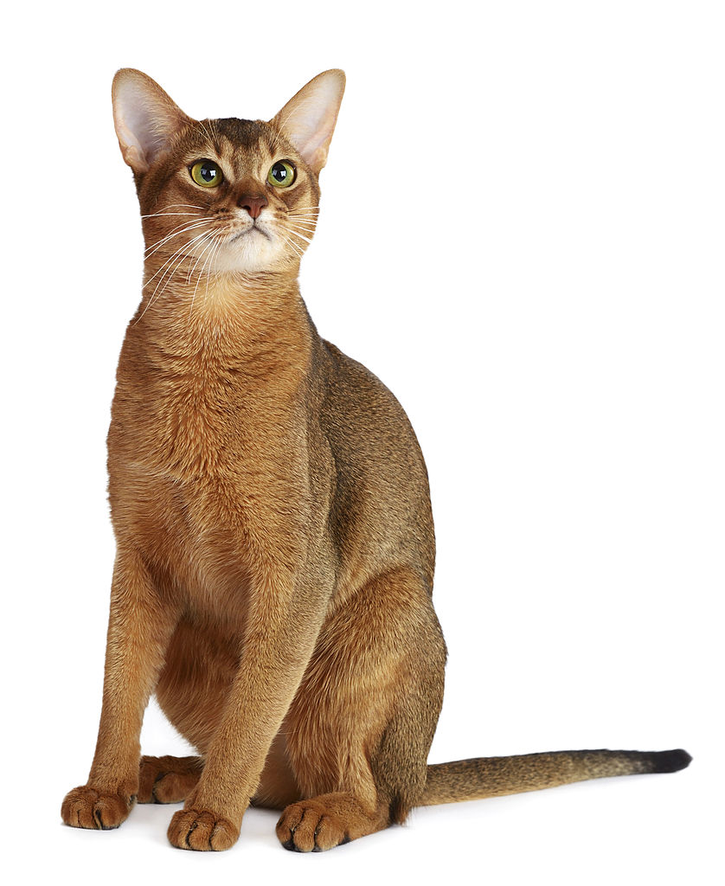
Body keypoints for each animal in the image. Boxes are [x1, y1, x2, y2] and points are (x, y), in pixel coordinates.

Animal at [60, 68, 690, 853]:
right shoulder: (137, 556)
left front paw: (211, 818)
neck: (207, 342)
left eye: (282, 171)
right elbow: (118, 691)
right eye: (206, 172)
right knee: (283, 774)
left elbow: (250, 714)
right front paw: (104, 788)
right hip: (194, 645)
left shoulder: (296, 571)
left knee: (376, 798)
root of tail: (417, 767)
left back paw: (310, 813)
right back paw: (170, 772)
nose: (255, 202)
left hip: (379, 620)